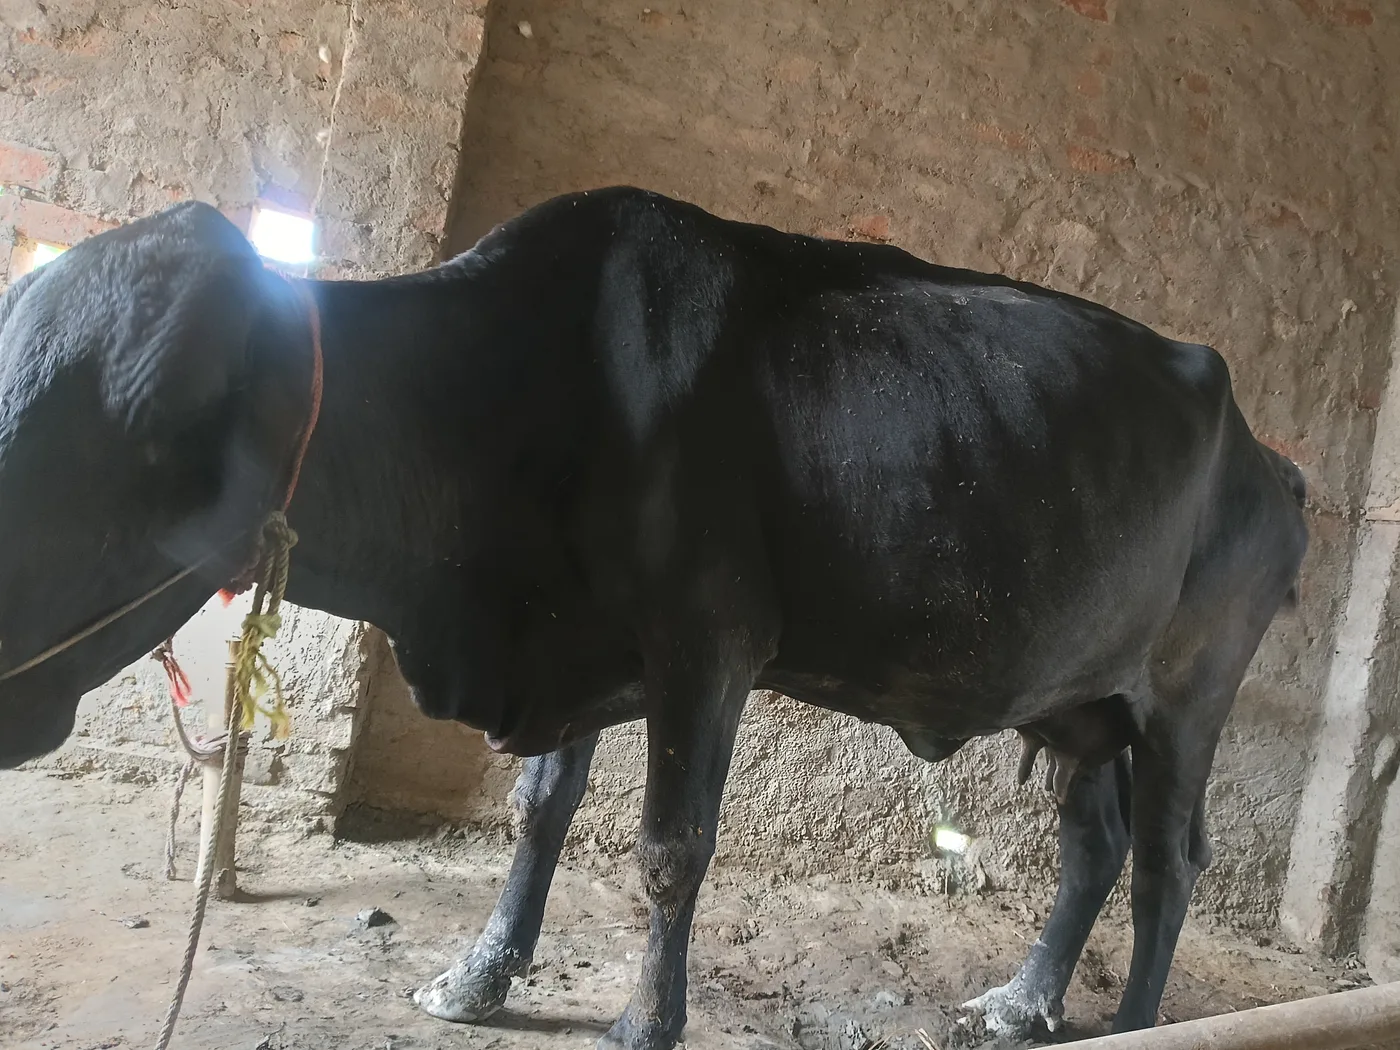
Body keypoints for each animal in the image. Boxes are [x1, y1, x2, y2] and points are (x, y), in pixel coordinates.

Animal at [0, 188, 1307, 1049]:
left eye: (142, 432)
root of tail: (1270, 460)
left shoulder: (704, 643)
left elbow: (670, 849)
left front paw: (642, 1020)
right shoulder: (577, 637)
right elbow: (537, 812)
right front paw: (480, 976)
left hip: (1186, 697)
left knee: (1167, 863)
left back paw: (1133, 1026)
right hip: (1081, 700)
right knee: (1094, 845)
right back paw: (1024, 1004)